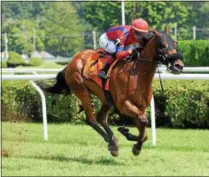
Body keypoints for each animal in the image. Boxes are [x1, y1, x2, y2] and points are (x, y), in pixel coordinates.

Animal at [38, 28, 184, 156]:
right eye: (163, 45)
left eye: (175, 43)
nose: (179, 65)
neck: (137, 74)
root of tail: (71, 61)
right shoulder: (124, 105)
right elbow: (143, 121)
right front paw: (133, 142)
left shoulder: (140, 107)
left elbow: (143, 128)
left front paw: (132, 139)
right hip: (81, 90)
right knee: (91, 119)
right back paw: (111, 142)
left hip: (105, 98)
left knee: (101, 118)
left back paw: (113, 141)